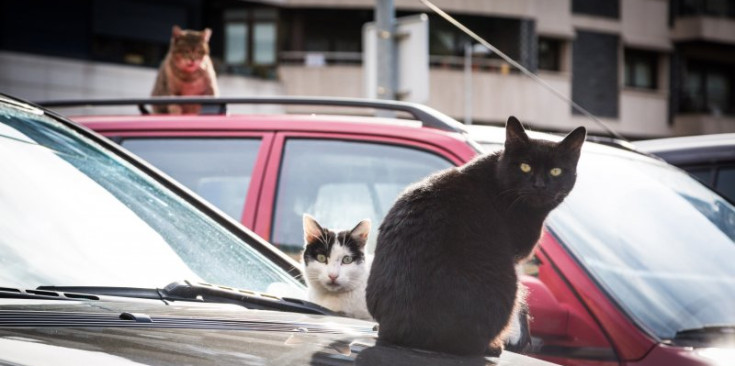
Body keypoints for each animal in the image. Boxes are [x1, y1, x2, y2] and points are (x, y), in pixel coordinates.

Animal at [368, 116, 588, 356]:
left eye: (556, 171)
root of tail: (407, 335)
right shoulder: (515, 256)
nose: (539, 184)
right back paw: (493, 346)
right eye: (525, 166)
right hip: (509, 281)